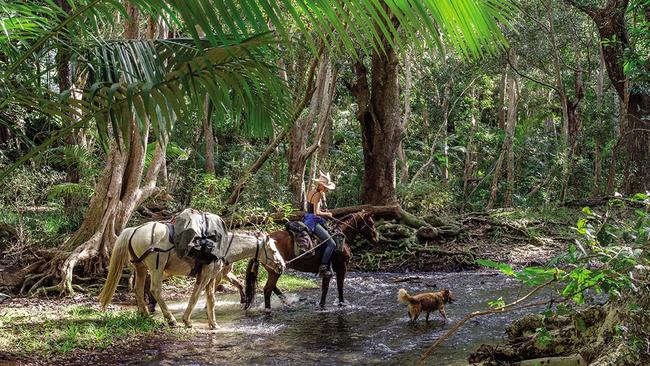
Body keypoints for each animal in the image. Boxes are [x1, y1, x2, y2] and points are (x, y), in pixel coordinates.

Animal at [99, 222, 284, 330]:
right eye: (273, 250)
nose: (282, 265)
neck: (224, 247)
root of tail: (134, 230)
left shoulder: (212, 277)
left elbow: (211, 299)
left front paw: (213, 324)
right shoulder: (205, 276)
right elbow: (195, 297)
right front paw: (187, 320)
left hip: (141, 268)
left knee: (138, 290)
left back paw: (145, 315)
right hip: (156, 268)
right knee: (155, 290)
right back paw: (171, 320)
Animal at [243, 210, 378, 310]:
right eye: (371, 222)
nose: (376, 239)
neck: (341, 237)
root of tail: (259, 243)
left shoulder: (328, 271)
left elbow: (325, 289)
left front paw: (322, 305)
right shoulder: (342, 267)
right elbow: (340, 287)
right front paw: (342, 304)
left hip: (275, 270)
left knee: (273, 288)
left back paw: (288, 303)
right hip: (275, 271)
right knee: (267, 290)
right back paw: (269, 310)